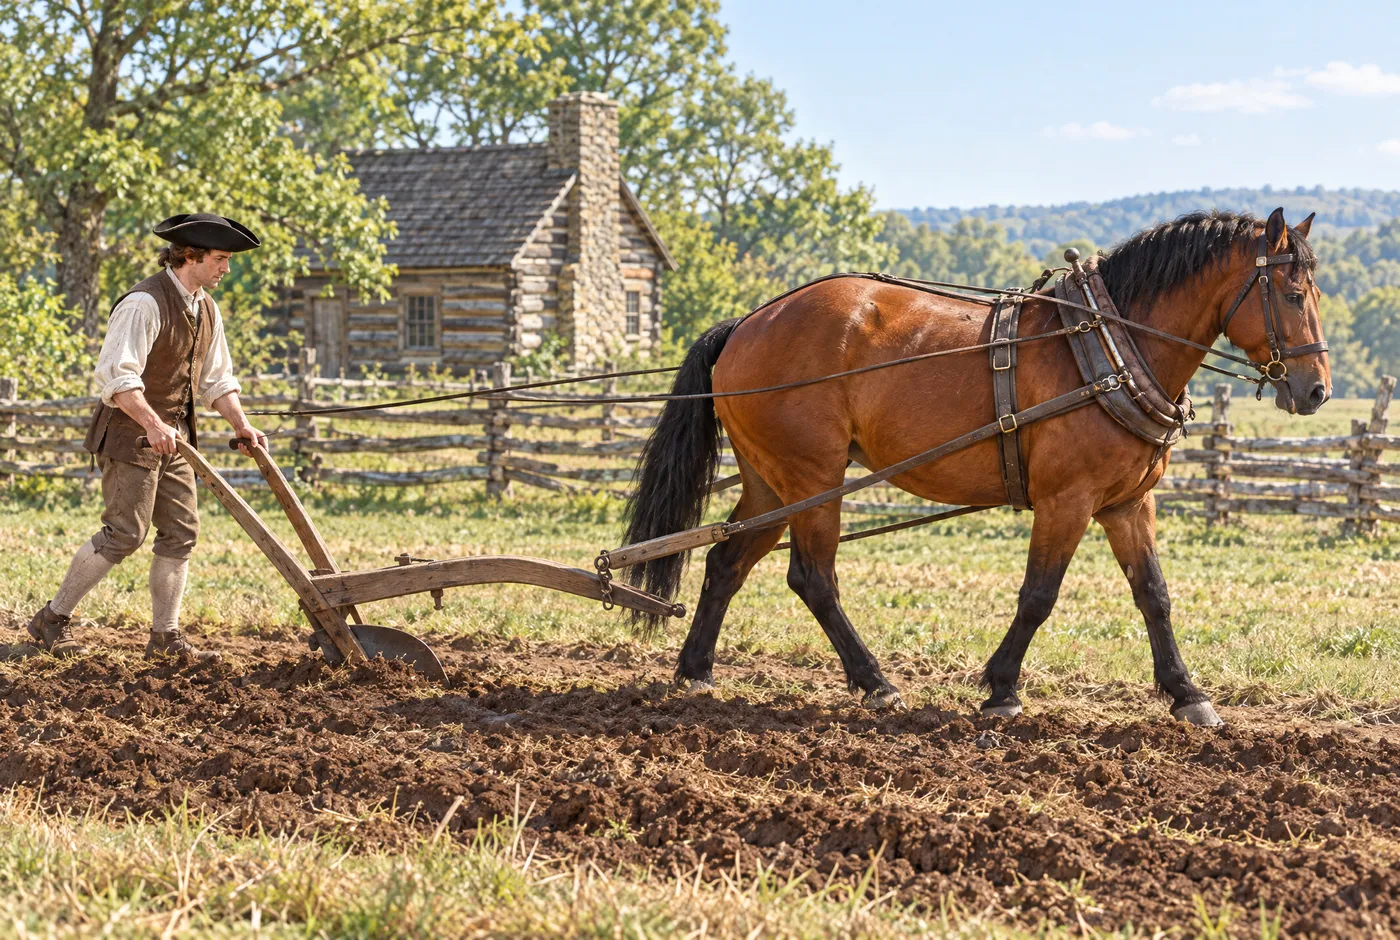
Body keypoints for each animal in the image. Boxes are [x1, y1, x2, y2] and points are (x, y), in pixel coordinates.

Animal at [622, 208, 1329, 726]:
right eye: (1293, 293)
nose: (1317, 390)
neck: (1109, 346)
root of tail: (747, 322)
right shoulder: (1066, 500)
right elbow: (1039, 595)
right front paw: (1002, 688)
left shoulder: (1128, 503)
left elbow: (1153, 594)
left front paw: (1188, 694)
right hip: (813, 479)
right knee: (813, 578)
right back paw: (876, 683)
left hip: (773, 481)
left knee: (725, 562)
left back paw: (696, 672)